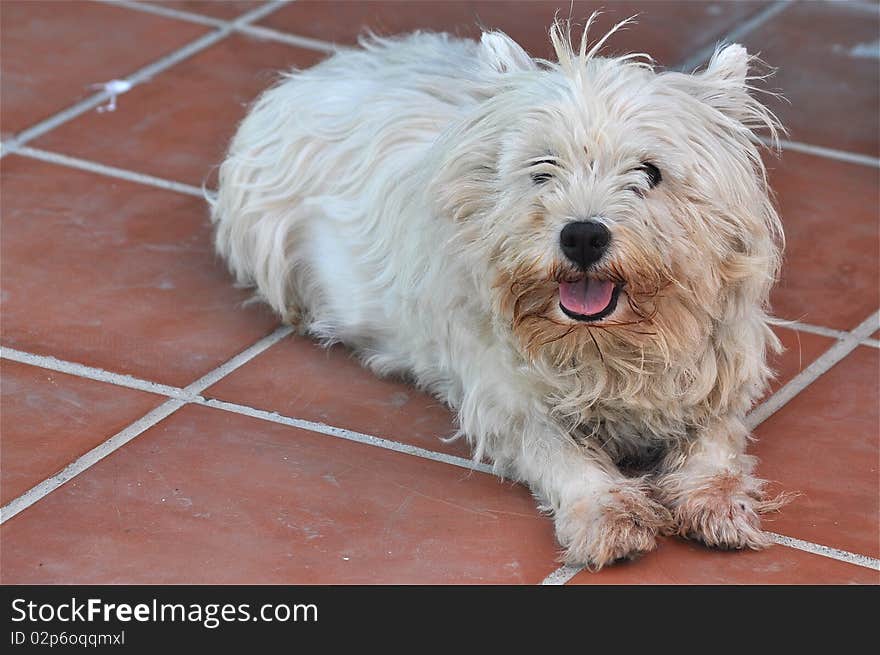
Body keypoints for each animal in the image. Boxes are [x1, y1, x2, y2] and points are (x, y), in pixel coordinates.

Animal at [210, 15, 788, 568]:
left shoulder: (719, 376)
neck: (609, 349)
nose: (582, 236)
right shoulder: (510, 398)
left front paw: (718, 502)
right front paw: (608, 516)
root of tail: (332, 62)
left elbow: (715, 444)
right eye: (542, 169)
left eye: (649, 172)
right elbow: (564, 456)